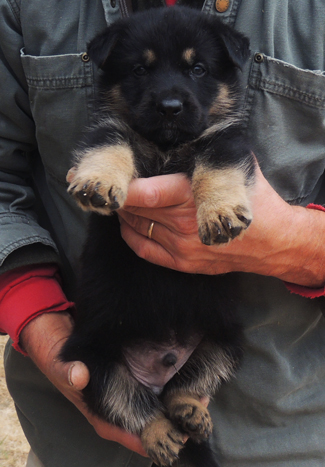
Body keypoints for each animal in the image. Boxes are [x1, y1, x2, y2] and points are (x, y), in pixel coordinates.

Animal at [60, 7, 253, 467]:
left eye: (198, 68)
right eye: (139, 70)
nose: (170, 107)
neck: (167, 145)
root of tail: (158, 365)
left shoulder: (223, 136)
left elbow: (218, 163)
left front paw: (220, 212)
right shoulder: (112, 128)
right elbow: (109, 145)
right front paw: (97, 182)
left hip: (225, 343)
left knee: (186, 386)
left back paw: (189, 412)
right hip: (90, 359)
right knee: (131, 401)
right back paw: (161, 432)